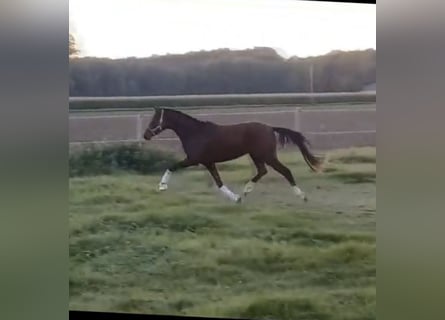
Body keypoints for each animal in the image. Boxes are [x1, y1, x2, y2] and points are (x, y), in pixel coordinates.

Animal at [144, 107, 320, 202]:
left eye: (154, 120)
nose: (145, 135)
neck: (195, 133)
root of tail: (270, 128)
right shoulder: (208, 162)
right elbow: (219, 182)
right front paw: (236, 199)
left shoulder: (194, 159)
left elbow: (172, 166)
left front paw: (162, 186)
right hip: (257, 156)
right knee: (262, 171)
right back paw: (246, 190)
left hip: (267, 155)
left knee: (285, 171)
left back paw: (302, 196)